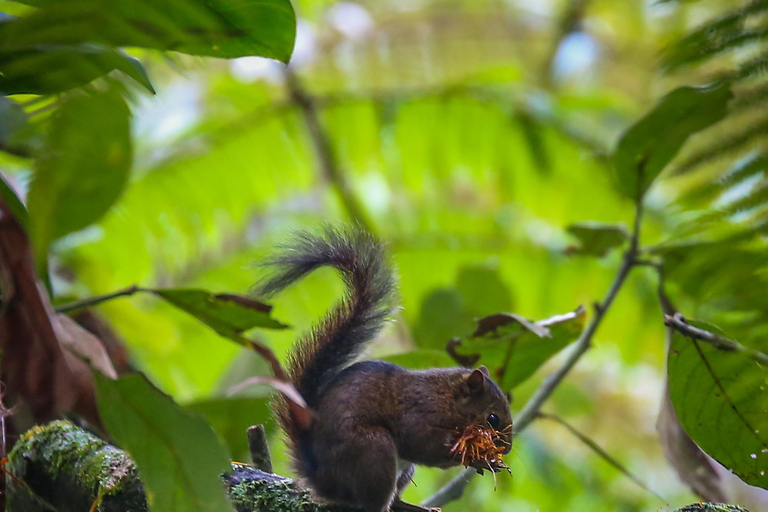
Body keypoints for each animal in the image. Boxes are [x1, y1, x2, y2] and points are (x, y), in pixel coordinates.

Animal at [258, 228, 516, 512]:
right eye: (493, 419)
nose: (507, 449)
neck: (446, 396)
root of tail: (323, 480)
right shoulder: (419, 412)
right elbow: (423, 444)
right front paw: (477, 458)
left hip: (402, 469)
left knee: (396, 499)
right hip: (374, 452)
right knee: (374, 501)